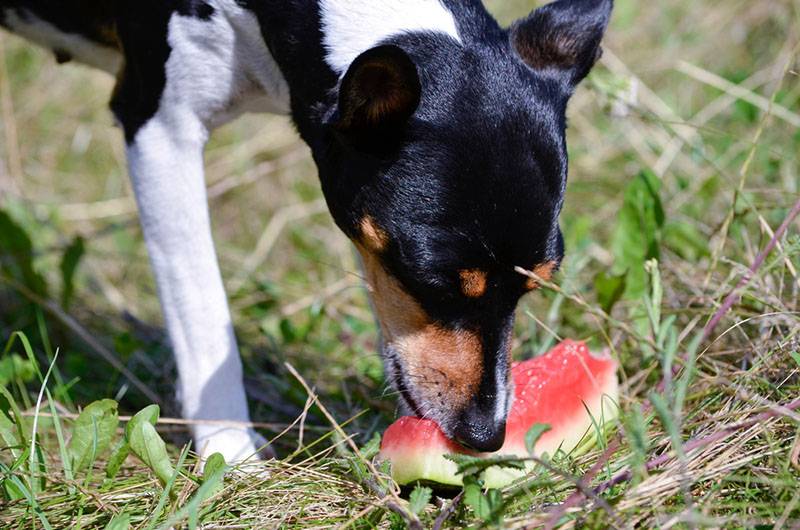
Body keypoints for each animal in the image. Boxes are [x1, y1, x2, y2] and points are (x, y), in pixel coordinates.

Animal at [0, 0, 612, 460]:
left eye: (536, 285)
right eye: (432, 280)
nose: (487, 436)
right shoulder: (161, 131)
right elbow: (204, 319)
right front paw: (233, 457)